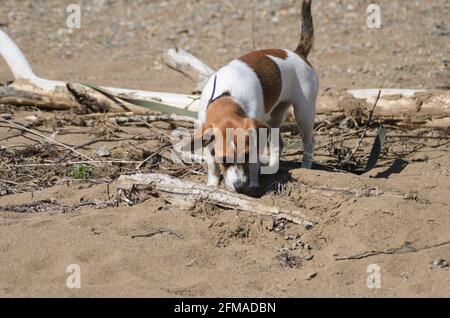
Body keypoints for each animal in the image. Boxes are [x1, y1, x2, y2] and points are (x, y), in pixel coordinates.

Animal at [192, 0, 318, 193]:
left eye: (245, 155)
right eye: (224, 160)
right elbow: (212, 165)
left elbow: (252, 164)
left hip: (304, 113)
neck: (227, 96)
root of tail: (299, 53)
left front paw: (253, 183)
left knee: (309, 142)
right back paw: (272, 167)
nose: (239, 186)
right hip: (275, 118)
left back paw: (305, 168)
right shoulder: (206, 135)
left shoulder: (254, 140)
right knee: (277, 144)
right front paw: (212, 185)